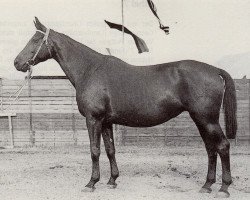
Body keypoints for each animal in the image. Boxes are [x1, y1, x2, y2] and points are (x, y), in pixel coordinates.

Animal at [13, 17, 236, 198]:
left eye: (35, 40)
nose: (17, 62)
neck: (90, 70)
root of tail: (214, 70)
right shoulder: (106, 122)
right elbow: (110, 150)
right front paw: (112, 181)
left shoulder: (93, 119)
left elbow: (94, 150)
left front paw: (91, 183)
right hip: (200, 119)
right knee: (211, 149)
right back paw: (207, 185)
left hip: (207, 119)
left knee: (223, 146)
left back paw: (223, 188)